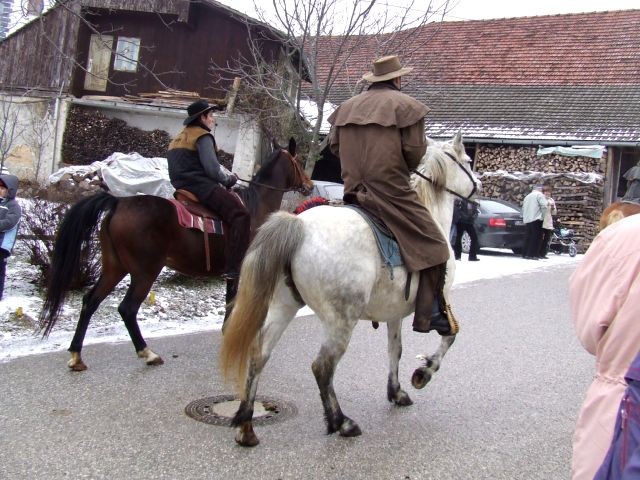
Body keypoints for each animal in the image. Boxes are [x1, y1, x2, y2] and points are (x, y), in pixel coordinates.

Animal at [37, 139, 312, 372]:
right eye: (298, 162)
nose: (309, 186)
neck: (256, 207)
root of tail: (118, 203)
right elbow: (237, 302)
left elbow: (229, 301)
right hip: (144, 272)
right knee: (127, 308)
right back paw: (147, 353)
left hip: (114, 268)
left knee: (90, 301)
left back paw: (76, 356)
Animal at [220, 132, 480, 446]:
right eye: (468, 160)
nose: (478, 188)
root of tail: (298, 226)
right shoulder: (443, 302)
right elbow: (449, 337)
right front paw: (422, 373)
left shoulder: (394, 313)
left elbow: (395, 349)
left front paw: (396, 392)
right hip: (341, 321)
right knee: (322, 367)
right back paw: (341, 422)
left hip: (284, 306)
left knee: (259, 354)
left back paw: (246, 427)